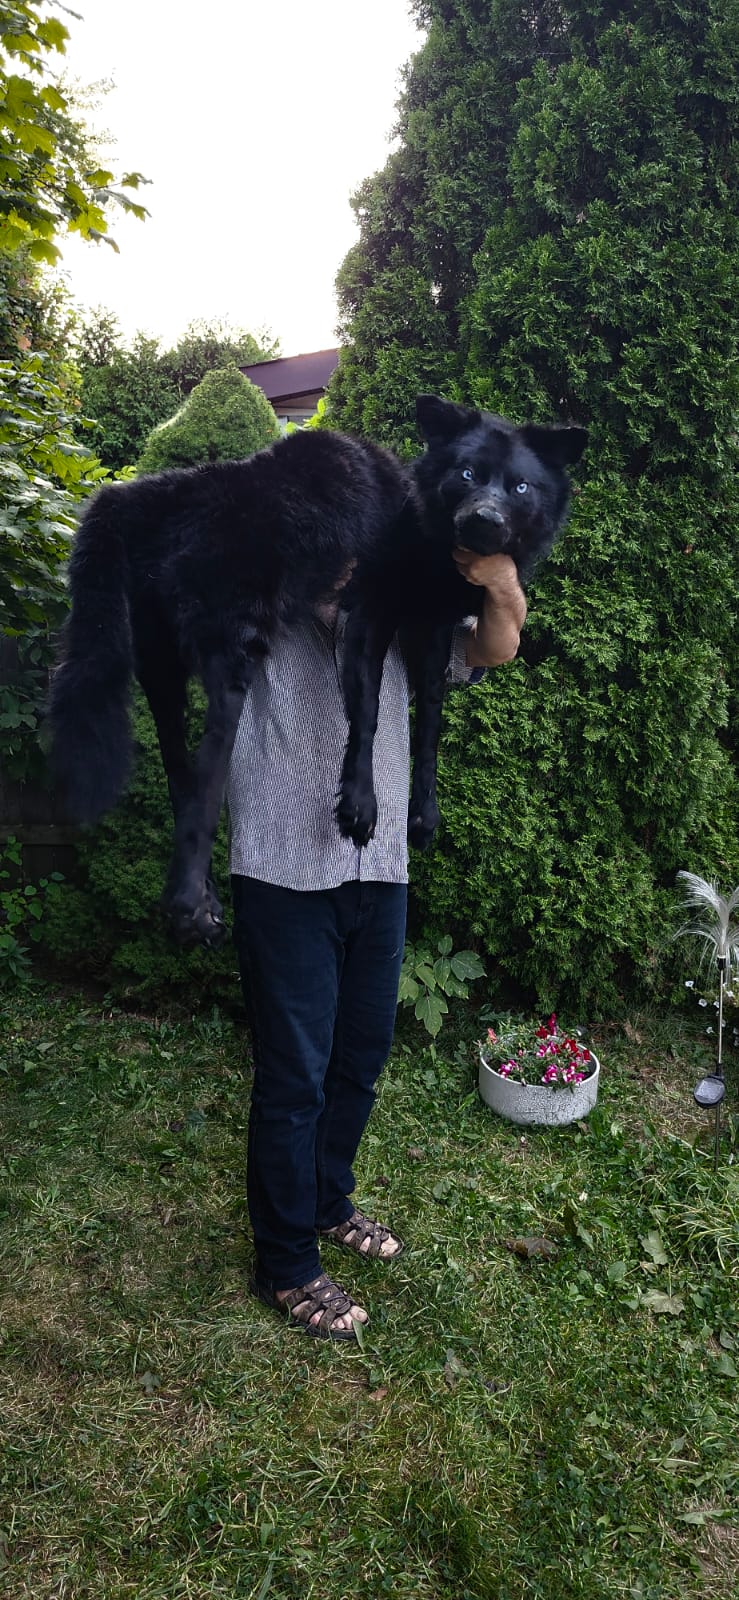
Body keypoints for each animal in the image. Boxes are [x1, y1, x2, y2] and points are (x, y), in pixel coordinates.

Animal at [49, 395, 586, 946]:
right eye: (467, 473)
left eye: (520, 487)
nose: (485, 520)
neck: (421, 524)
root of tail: (142, 495)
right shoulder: (371, 616)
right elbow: (367, 713)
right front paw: (360, 805)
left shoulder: (433, 632)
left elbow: (430, 726)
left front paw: (424, 814)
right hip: (232, 661)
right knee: (206, 786)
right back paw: (187, 903)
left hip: (161, 671)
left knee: (182, 776)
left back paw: (204, 899)